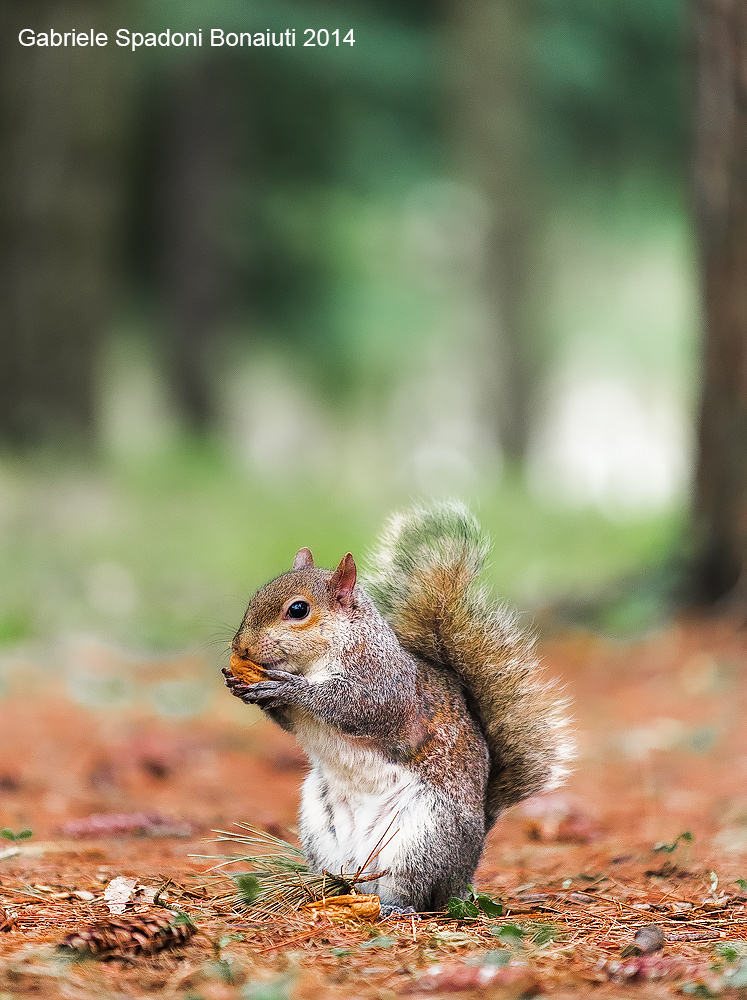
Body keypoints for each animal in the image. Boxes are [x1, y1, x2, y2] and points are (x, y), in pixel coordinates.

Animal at [224, 501, 574, 916]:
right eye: (254, 598)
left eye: (297, 610)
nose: (241, 647)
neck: (319, 659)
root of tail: (465, 870)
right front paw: (243, 685)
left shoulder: (385, 685)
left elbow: (353, 706)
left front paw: (287, 687)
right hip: (320, 827)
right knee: (346, 877)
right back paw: (326, 891)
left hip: (421, 836)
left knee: (413, 891)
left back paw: (395, 907)